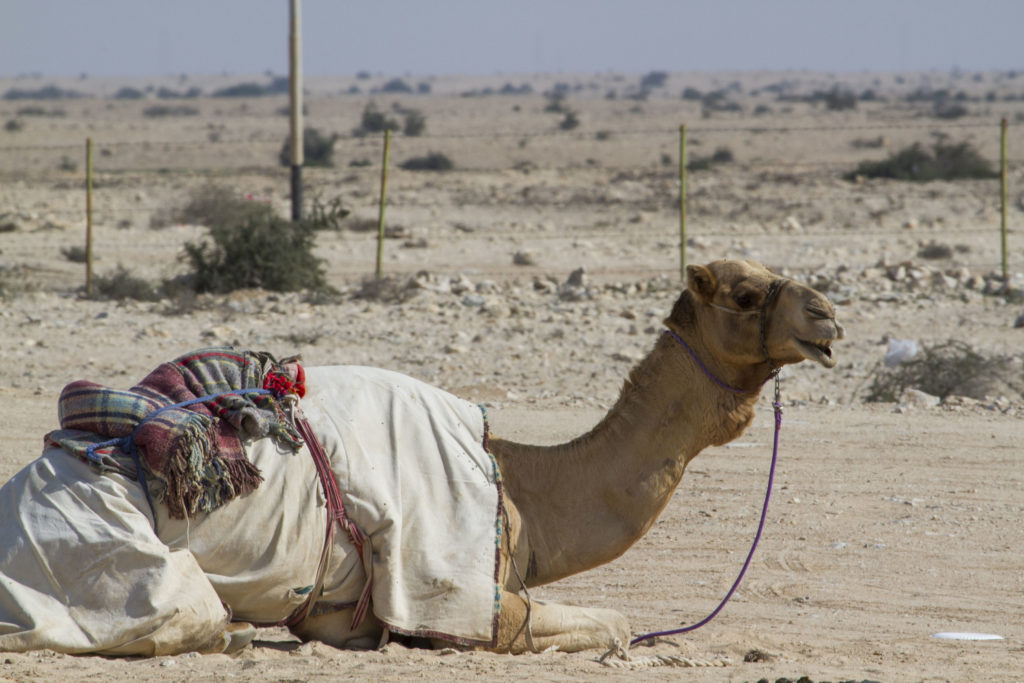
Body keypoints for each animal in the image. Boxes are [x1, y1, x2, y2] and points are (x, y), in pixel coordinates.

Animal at [0, 259, 842, 657]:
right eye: (744, 294)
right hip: (117, 561)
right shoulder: (481, 601)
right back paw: (229, 632)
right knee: (177, 617)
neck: (522, 487)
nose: (828, 315)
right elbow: (617, 623)